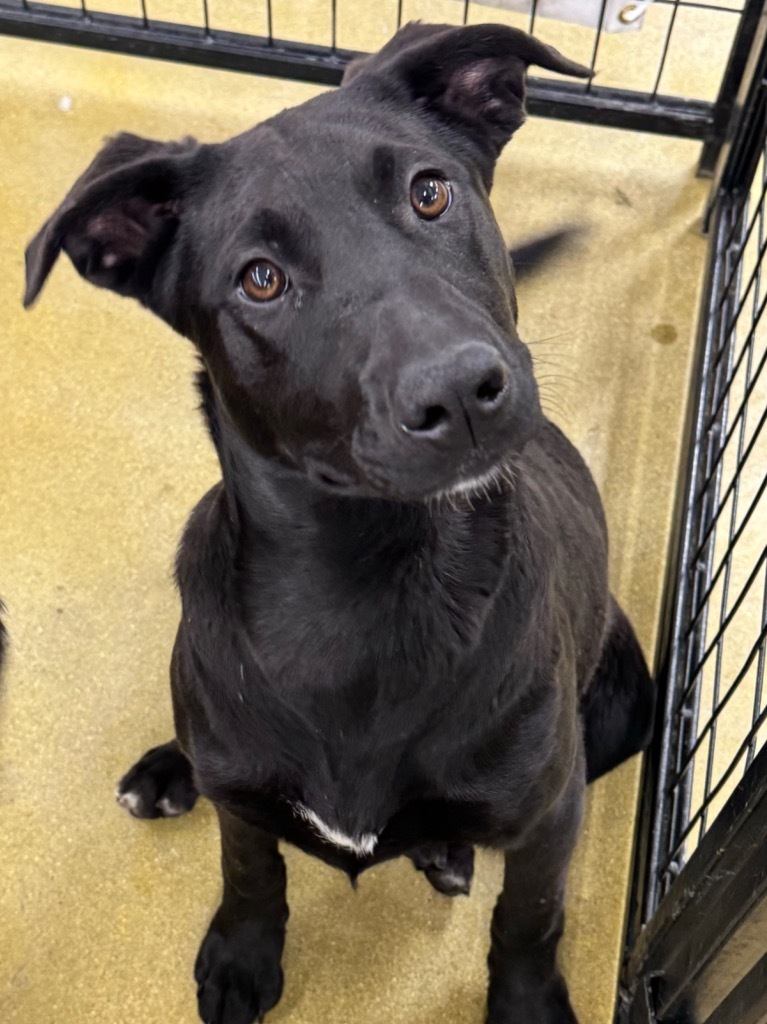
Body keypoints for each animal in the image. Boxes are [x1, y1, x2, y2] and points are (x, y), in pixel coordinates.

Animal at [26, 24, 655, 1024]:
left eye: (430, 192)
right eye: (260, 279)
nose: (459, 391)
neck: (364, 582)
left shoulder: (551, 812)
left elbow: (528, 920)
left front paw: (523, 1002)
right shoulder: (243, 800)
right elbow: (249, 868)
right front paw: (242, 954)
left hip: (623, 706)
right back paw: (169, 768)